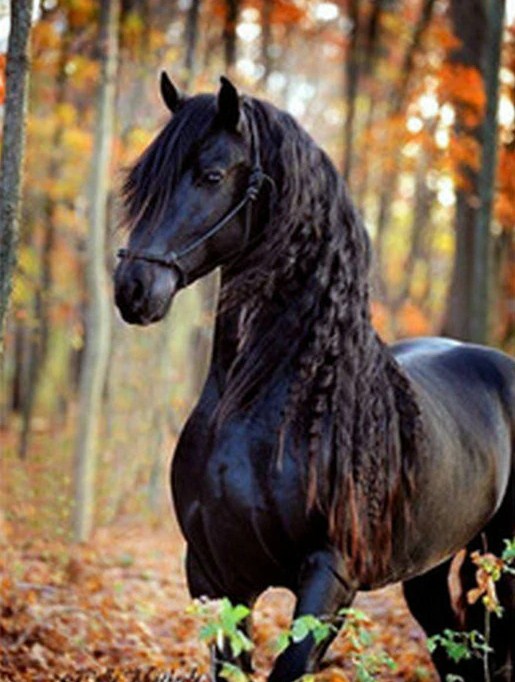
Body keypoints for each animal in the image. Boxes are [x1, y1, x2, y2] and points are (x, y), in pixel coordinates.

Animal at [114, 74, 514, 681]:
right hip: (428, 569)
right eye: (141, 181)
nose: (132, 288)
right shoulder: (213, 576)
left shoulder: (331, 577)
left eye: (211, 175)